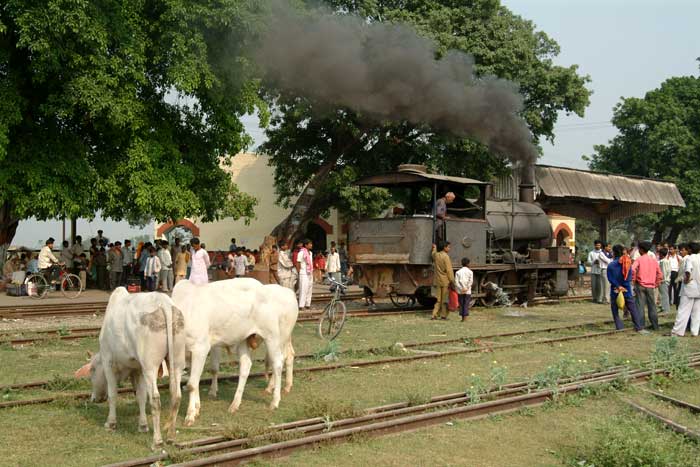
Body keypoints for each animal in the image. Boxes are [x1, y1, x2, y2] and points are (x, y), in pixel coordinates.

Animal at [74, 288, 186, 450]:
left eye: (92, 370)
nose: (94, 398)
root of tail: (163, 302)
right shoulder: (137, 369)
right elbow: (140, 396)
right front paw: (143, 426)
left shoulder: (108, 361)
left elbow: (113, 394)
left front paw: (111, 423)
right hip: (176, 362)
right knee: (176, 395)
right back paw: (171, 436)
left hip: (150, 366)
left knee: (155, 399)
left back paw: (157, 441)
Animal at [174, 278, 300, 428]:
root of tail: (288, 292)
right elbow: (192, 380)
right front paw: (195, 407)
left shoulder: (202, 348)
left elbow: (193, 383)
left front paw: (190, 415)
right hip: (246, 339)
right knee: (248, 364)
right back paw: (235, 404)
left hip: (274, 337)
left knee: (279, 362)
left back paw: (274, 400)